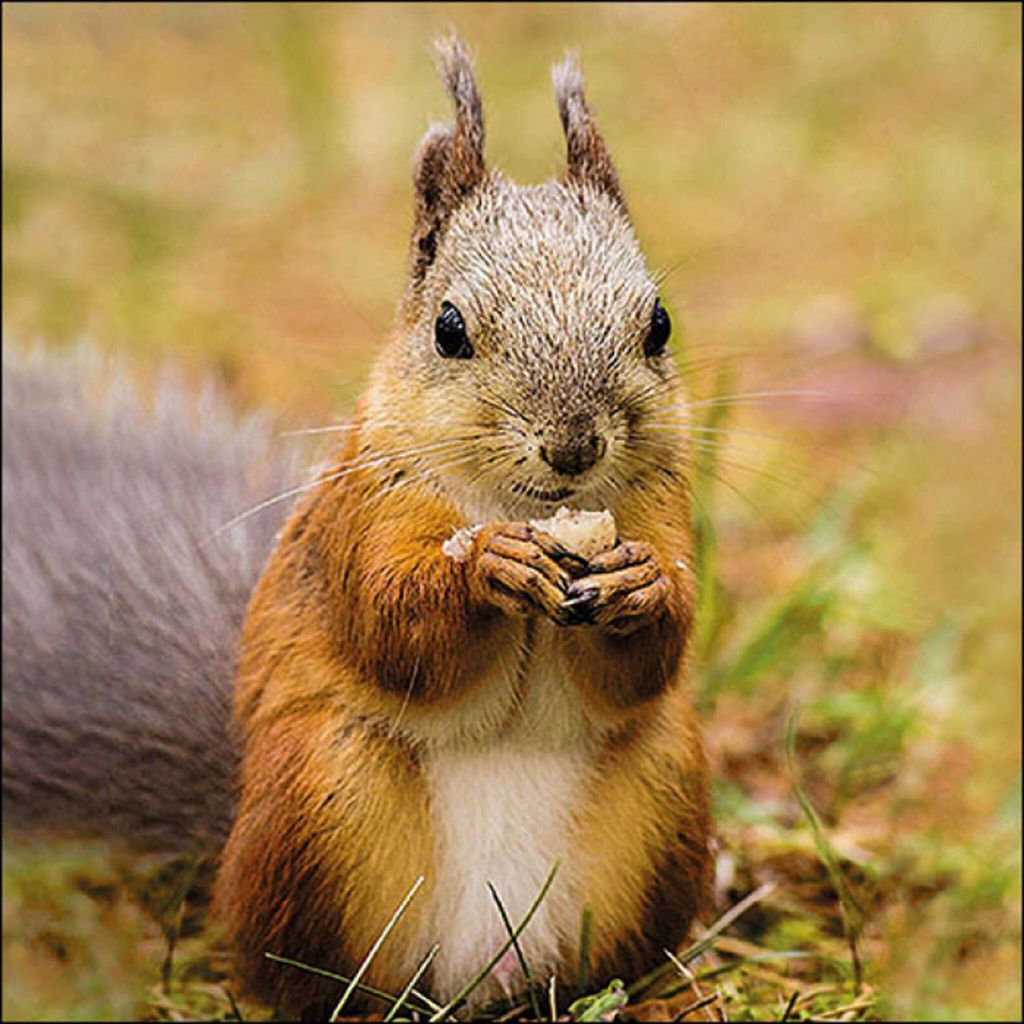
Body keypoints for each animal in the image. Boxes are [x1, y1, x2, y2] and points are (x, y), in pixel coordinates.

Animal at [3, 36, 711, 1020]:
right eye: (449, 329)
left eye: (659, 324)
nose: (573, 446)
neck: (530, 506)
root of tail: (478, 977)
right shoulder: (364, 512)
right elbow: (388, 627)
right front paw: (483, 567)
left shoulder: (660, 507)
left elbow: (652, 658)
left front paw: (640, 587)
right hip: (321, 793)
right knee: (298, 974)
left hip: (665, 789)